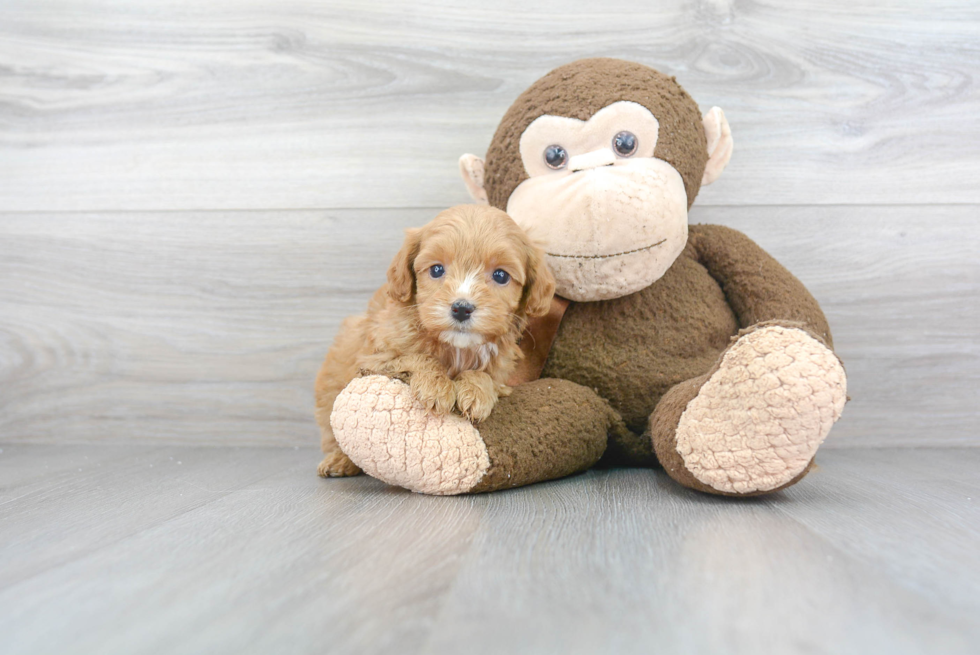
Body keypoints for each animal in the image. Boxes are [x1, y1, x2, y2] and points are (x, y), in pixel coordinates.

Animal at [316, 205, 556, 476]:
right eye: (437, 270)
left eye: (501, 275)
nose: (461, 308)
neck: (456, 347)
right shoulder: (376, 358)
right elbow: (415, 357)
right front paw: (436, 386)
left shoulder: (502, 371)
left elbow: (486, 375)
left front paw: (477, 392)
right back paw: (339, 461)